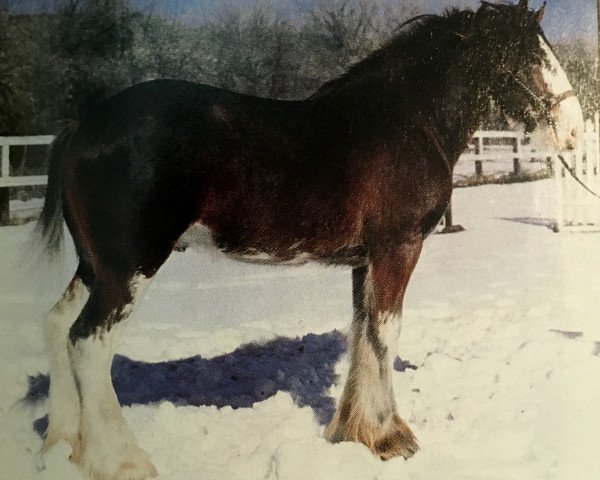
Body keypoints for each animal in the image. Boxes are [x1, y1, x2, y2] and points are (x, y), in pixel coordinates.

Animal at [35, 1, 584, 478]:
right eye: (533, 56)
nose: (576, 131)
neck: (407, 120)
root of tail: (83, 127)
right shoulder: (399, 248)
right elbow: (385, 334)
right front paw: (391, 437)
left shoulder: (366, 260)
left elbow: (362, 331)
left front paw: (354, 431)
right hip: (130, 267)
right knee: (88, 343)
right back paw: (121, 460)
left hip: (96, 266)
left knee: (58, 325)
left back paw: (64, 442)